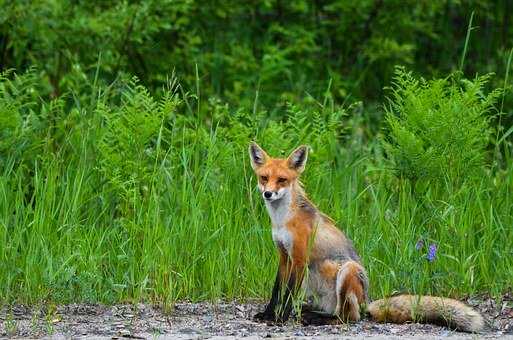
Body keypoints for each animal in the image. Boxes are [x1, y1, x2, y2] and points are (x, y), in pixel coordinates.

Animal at [248, 141, 484, 332]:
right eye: (264, 178)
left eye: (282, 180)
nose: (267, 193)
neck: (282, 220)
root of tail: (367, 300)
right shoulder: (284, 256)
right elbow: (276, 291)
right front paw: (268, 314)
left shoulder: (299, 258)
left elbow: (287, 294)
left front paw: (280, 319)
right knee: (338, 312)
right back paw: (313, 314)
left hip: (348, 271)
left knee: (349, 317)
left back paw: (318, 320)